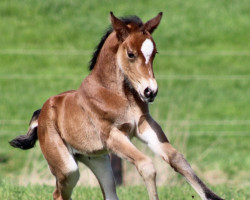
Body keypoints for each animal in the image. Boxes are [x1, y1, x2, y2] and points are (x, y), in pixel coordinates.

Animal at [10, 12, 224, 200]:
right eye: (131, 54)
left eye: (154, 53)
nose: (150, 91)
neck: (118, 94)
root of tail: (42, 113)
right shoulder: (112, 135)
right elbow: (146, 165)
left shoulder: (143, 125)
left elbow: (177, 159)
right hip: (67, 168)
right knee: (59, 193)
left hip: (99, 161)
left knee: (109, 193)